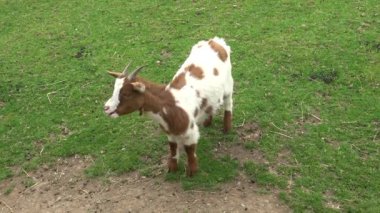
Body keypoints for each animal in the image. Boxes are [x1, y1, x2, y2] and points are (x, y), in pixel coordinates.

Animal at [103, 37, 232, 176]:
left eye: (126, 94)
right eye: (114, 90)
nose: (106, 107)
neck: (170, 104)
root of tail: (215, 41)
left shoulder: (190, 132)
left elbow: (190, 151)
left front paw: (192, 172)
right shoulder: (170, 132)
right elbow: (173, 148)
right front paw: (172, 168)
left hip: (229, 85)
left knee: (228, 104)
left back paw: (227, 128)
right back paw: (208, 122)